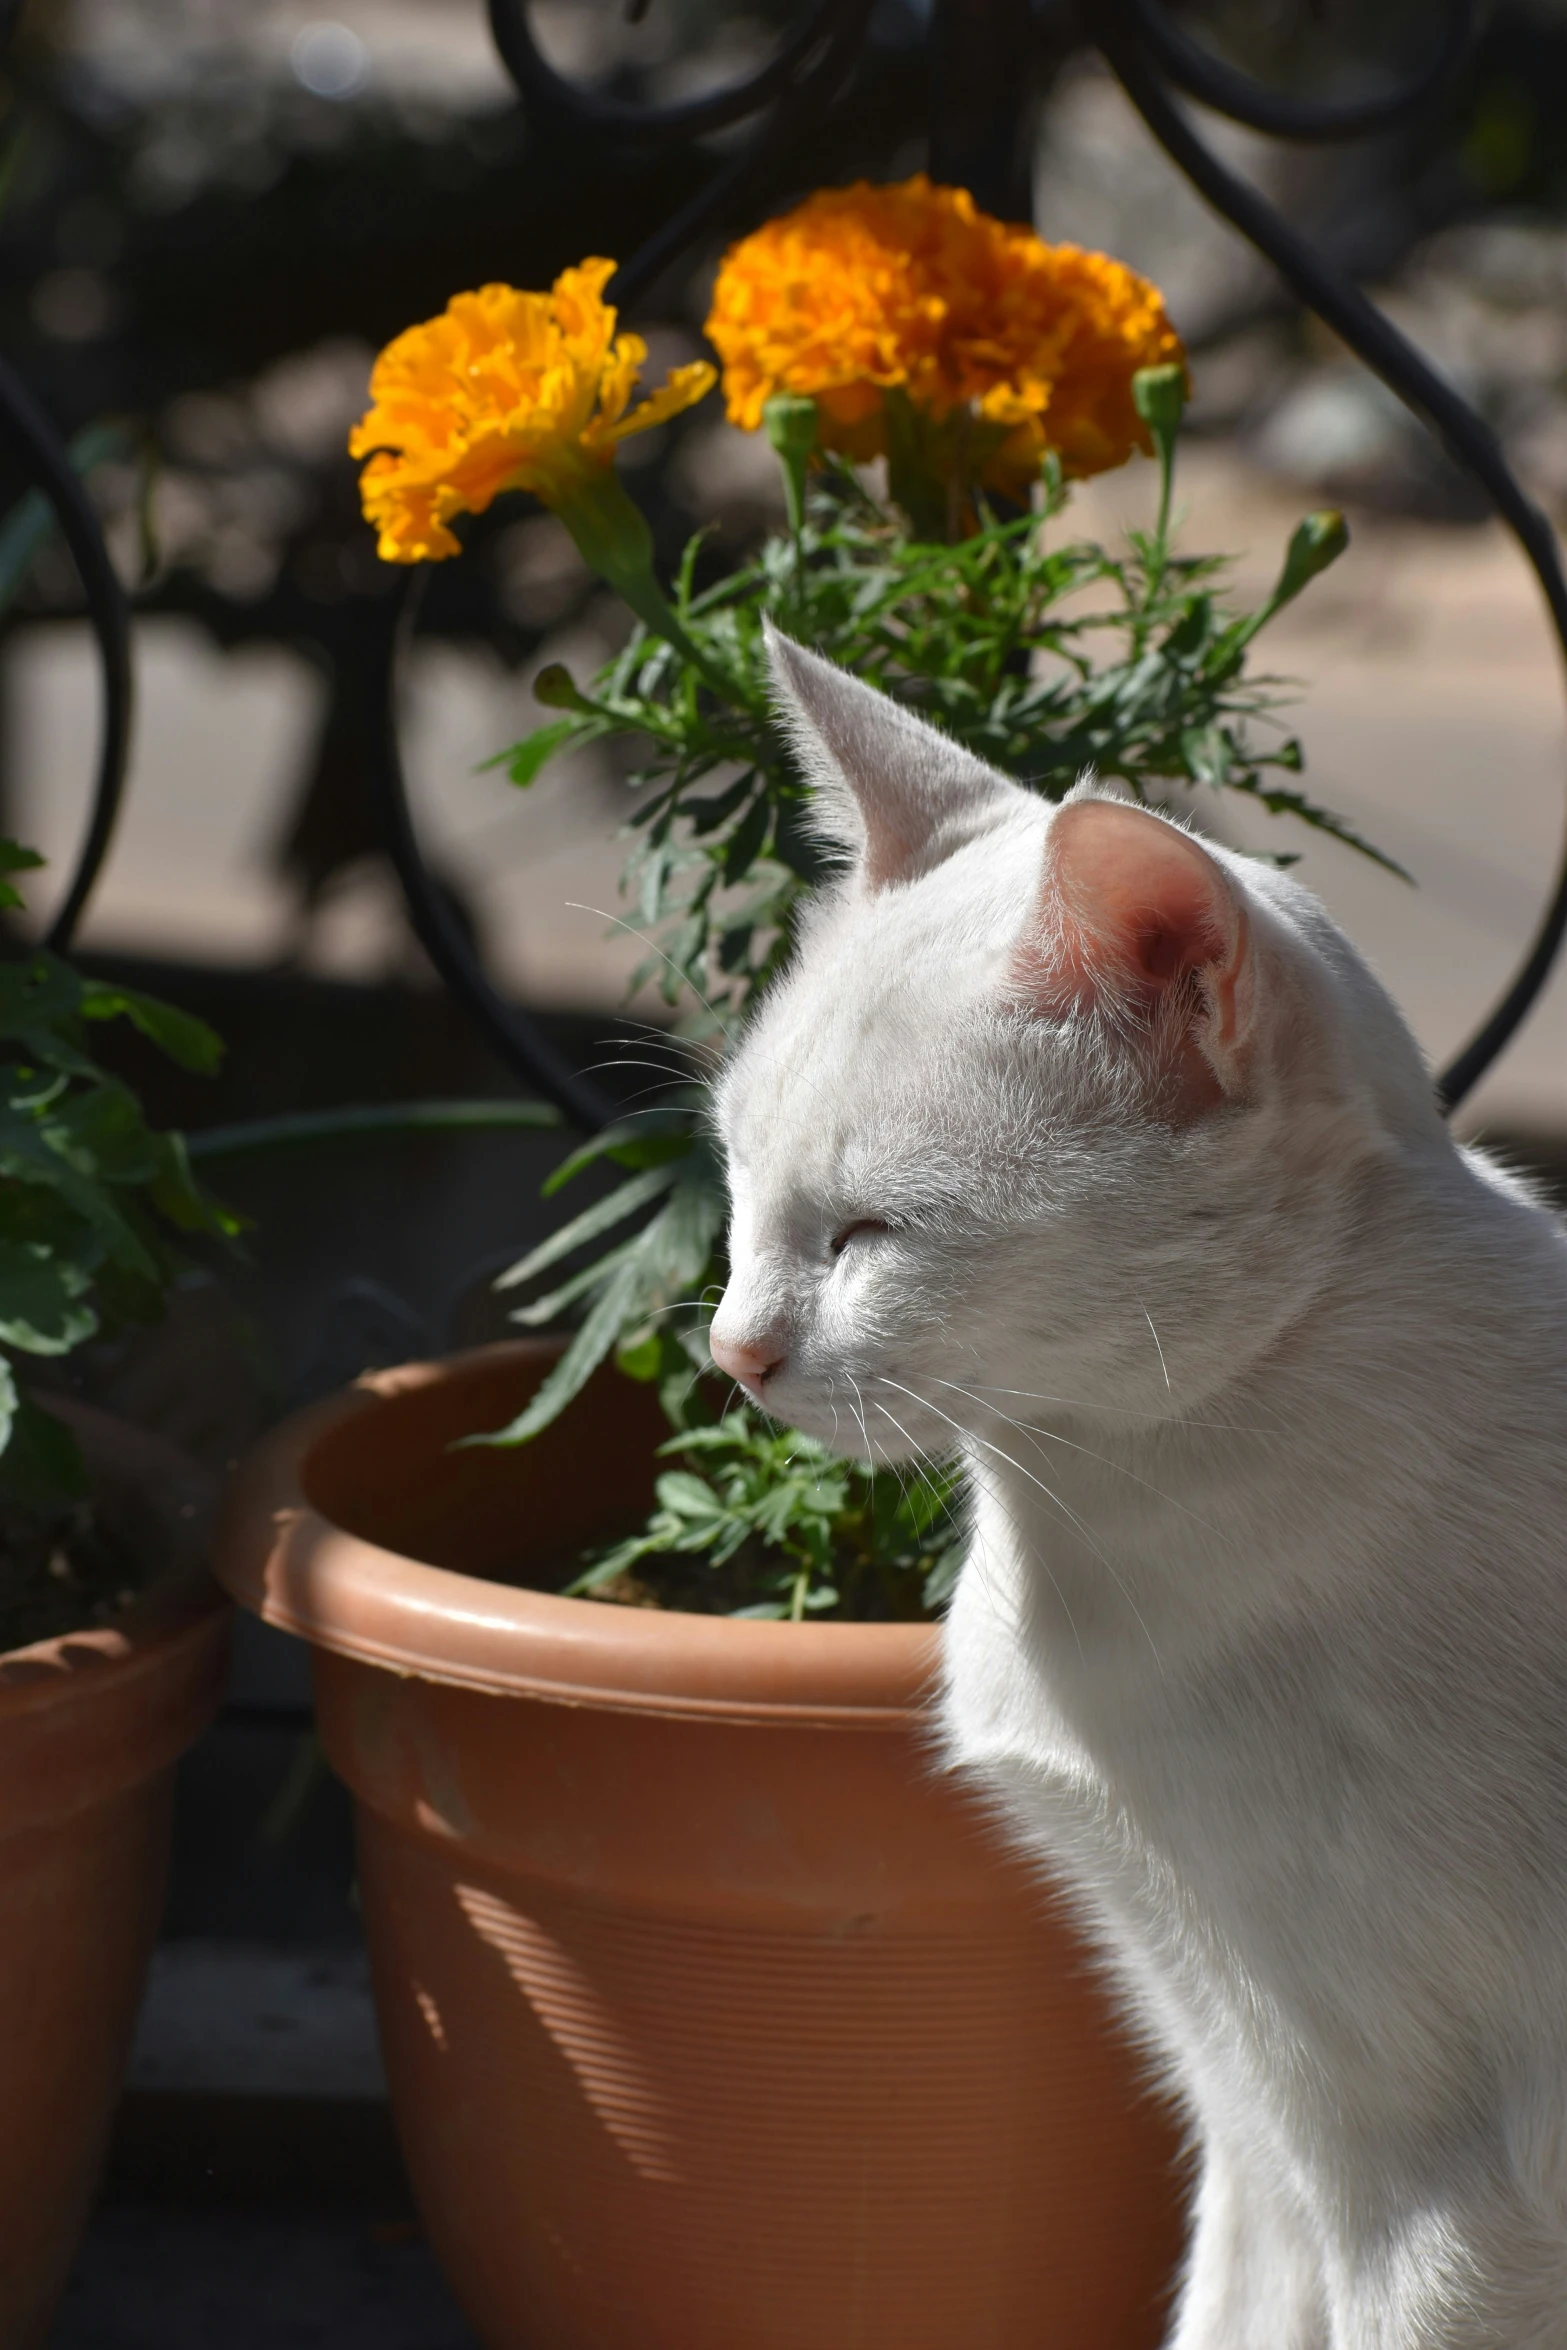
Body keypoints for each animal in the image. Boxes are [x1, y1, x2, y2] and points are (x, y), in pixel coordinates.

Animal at [714, 629, 1567, 2350]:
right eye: (736, 1180)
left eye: (867, 1234)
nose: (727, 1350)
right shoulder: (1246, 2110)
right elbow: (1216, 2316)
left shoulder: (1431, 2185)